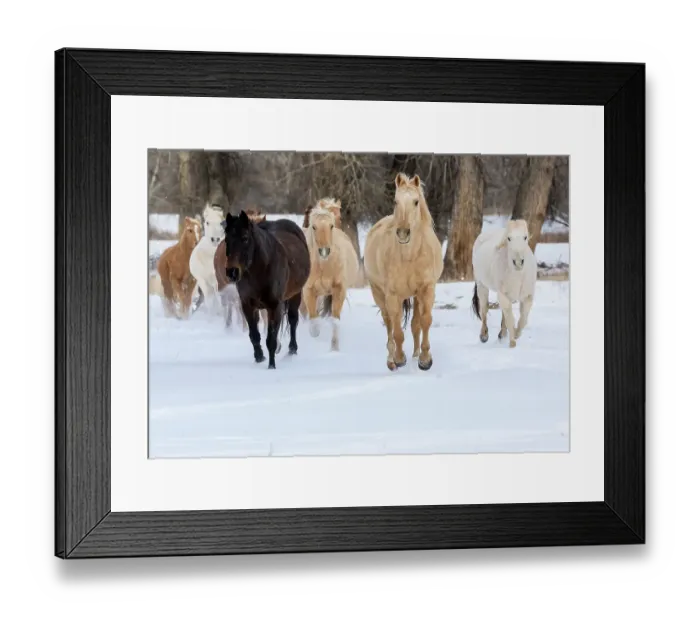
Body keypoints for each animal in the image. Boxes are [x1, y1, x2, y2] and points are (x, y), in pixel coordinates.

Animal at [222, 209, 310, 369]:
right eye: (226, 240)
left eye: (245, 238)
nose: (232, 272)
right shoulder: (247, 305)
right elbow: (254, 335)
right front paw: (259, 357)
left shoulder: (274, 306)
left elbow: (271, 339)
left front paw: (271, 366)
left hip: (295, 295)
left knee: (293, 320)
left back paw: (292, 350)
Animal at [302, 198, 360, 351]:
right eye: (314, 227)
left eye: (331, 225)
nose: (324, 251)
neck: (324, 265)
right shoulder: (308, 290)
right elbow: (313, 320)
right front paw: (315, 333)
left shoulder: (339, 290)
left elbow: (335, 321)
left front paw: (334, 348)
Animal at [363, 173, 443, 371]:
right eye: (395, 201)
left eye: (416, 201)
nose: (403, 233)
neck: (409, 257)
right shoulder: (392, 295)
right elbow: (397, 329)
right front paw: (400, 358)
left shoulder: (426, 289)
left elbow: (425, 321)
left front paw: (424, 359)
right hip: (379, 293)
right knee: (389, 324)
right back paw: (391, 360)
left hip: (415, 295)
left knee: (415, 324)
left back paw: (415, 354)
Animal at [471, 219, 536, 348]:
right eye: (509, 238)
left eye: (525, 237)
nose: (518, 262)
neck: (518, 275)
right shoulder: (502, 295)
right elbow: (510, 318)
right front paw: (512, 343)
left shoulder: (528, 297)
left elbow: (523, 320)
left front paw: (515, 334)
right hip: (482, 286)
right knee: (484, 309)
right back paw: (484, 336)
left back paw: (502, 334)